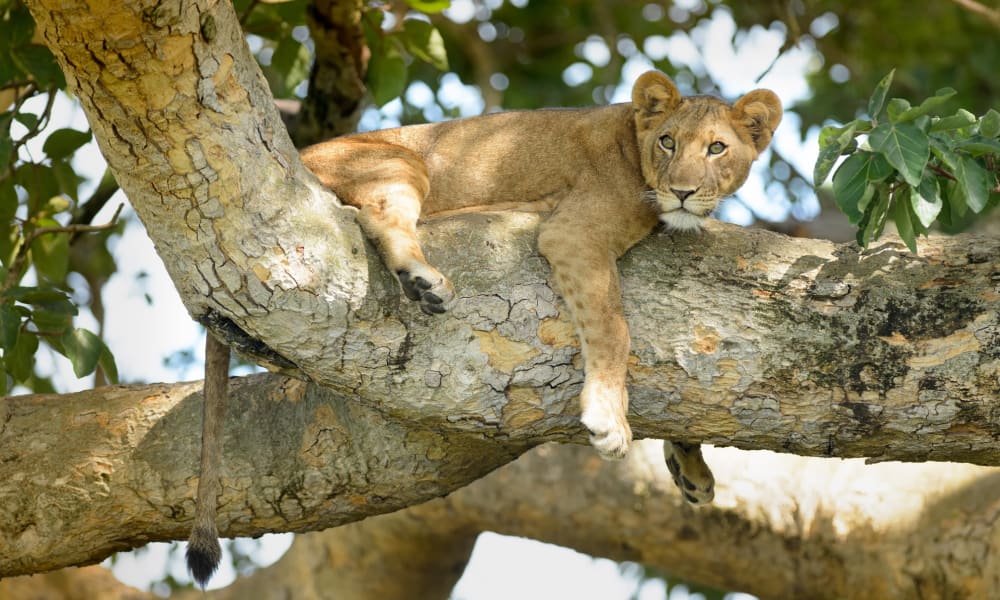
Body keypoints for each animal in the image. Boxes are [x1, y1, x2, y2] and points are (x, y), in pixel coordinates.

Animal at [187, 70, 781, 585]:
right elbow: (615, 329)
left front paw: (690, 468)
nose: (682, 191)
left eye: (716, 149)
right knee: (378, 217)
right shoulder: (574, 233)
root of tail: (298, 154)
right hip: (400, 159)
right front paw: (609, 419)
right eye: (667, 142)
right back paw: (424, 281)